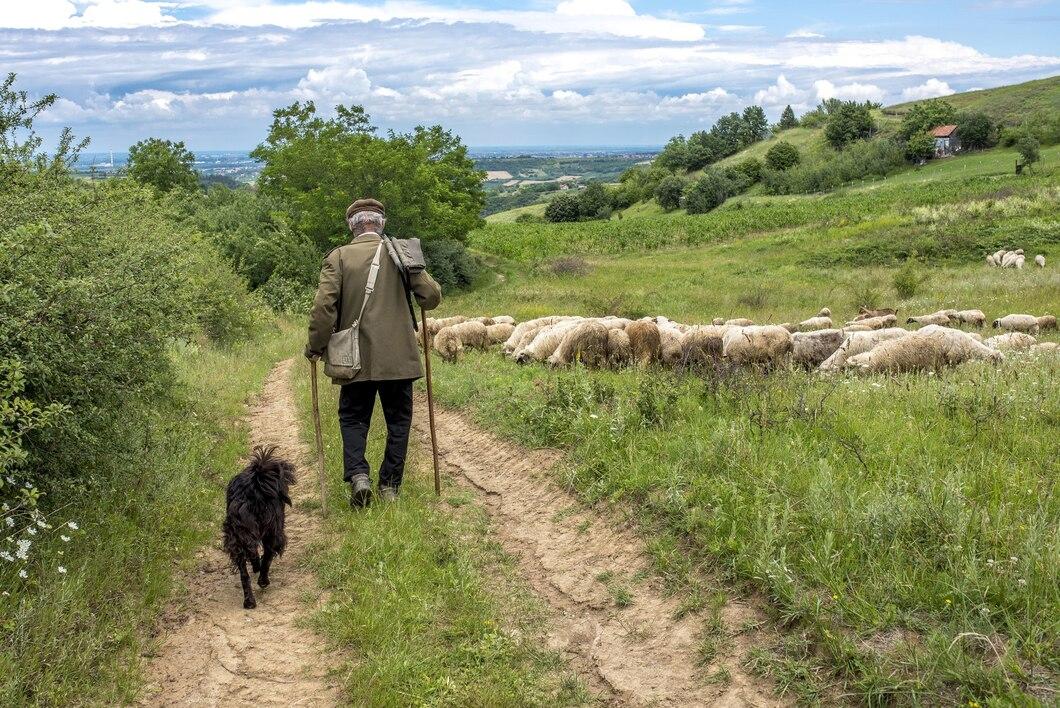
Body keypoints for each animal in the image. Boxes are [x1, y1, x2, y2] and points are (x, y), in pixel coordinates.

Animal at [219, 447, 294, 610]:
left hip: (237, 537)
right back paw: (262, 580)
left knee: (244, 573)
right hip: (272, 532)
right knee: (265, 555)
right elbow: (267, 557)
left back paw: (249, 601)